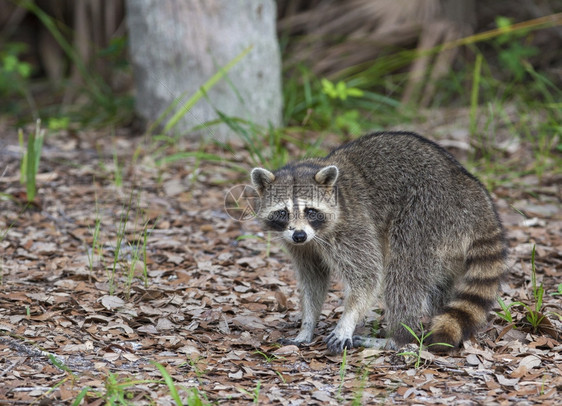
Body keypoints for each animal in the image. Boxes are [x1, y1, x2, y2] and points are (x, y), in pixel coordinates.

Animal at [252, 132, 506, 354]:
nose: (299, 235)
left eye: (311, 211)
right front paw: (307, 325)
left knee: (403, 273)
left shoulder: (352, 223)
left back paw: (397, 337)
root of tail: (476, 195)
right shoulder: (302, 246)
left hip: (428, 213)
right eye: (283, 212)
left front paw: (347, 320)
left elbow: (367, 275)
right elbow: (313, 279)